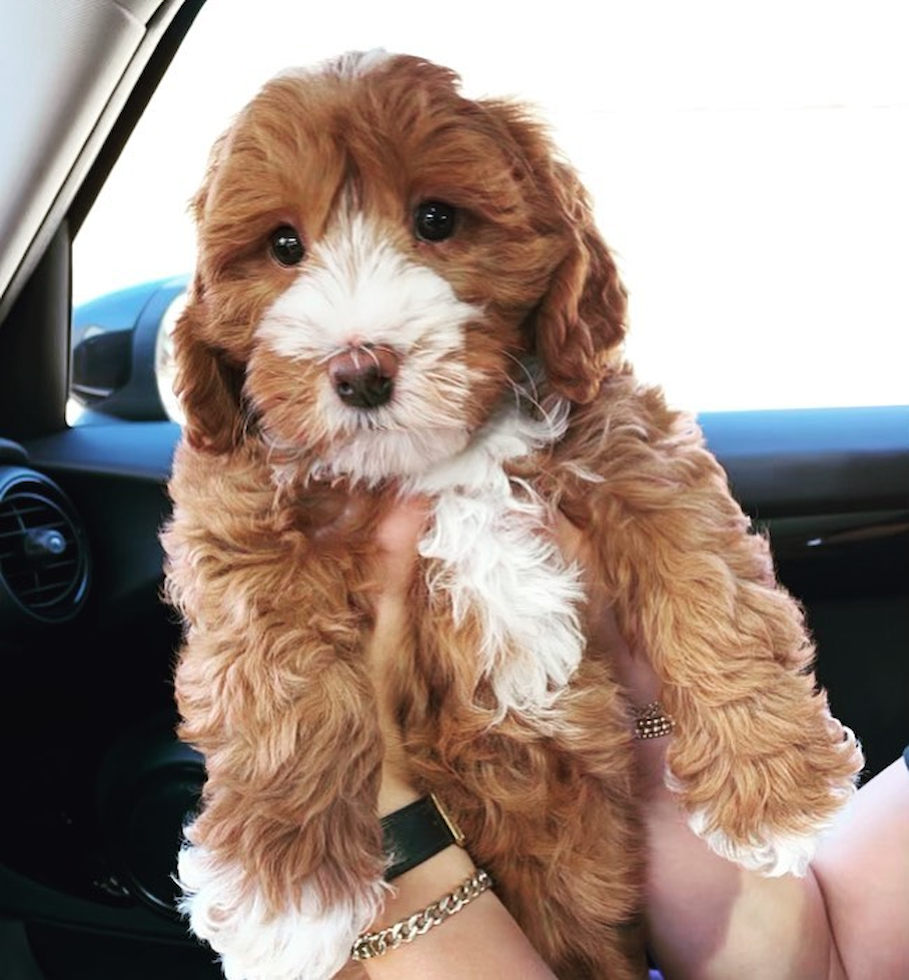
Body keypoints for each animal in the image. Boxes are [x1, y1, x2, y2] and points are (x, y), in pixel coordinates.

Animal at [160, 51, 860, 980]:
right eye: (282, 245)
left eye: (436, 218)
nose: (359, 370)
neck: (441, 459)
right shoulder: (238, 513)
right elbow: (278, 664)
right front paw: (286, 897)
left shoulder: (631, 444)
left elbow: (708, 583)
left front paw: (773, 795)